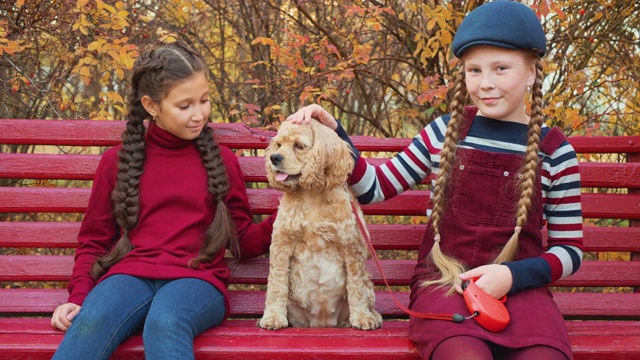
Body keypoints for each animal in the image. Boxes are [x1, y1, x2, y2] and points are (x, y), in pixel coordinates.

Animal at [258, 119, 382, 330]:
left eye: (299, 146)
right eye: (279, 145)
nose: (274, 158)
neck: (311, 195)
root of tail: (322, 322)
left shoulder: (352, 245)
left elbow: (356, 286)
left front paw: (363, 317)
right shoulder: (281, 242)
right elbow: (276, 284)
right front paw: (273, 317)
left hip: (368, 284)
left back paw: (373, 316)